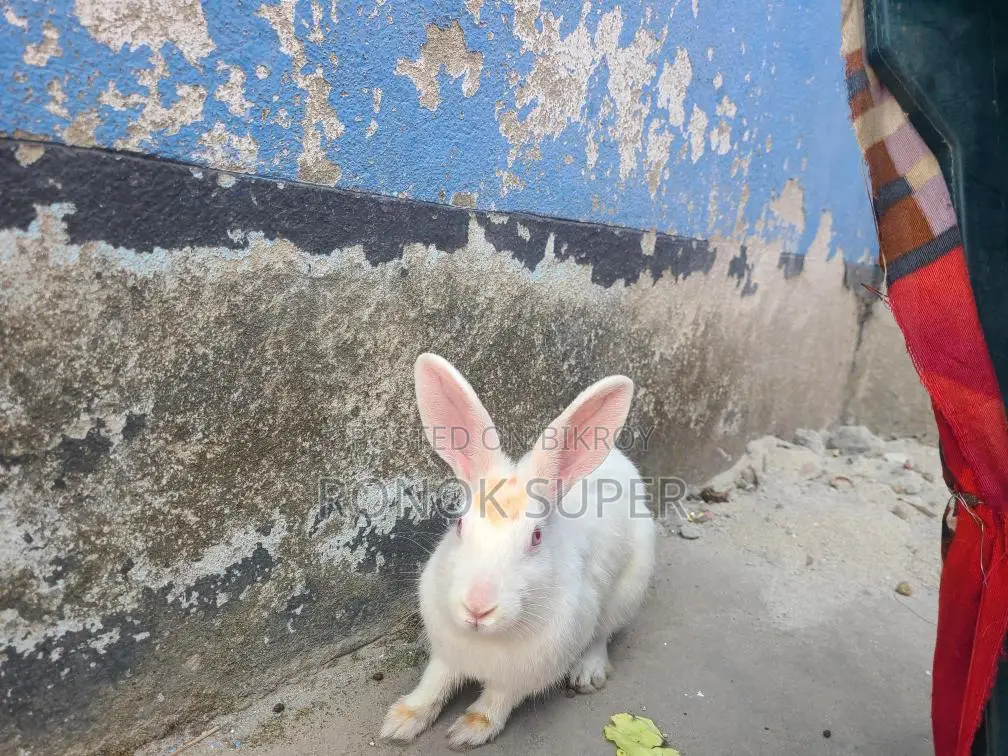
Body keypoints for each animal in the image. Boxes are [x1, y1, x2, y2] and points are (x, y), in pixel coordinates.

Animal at [379, 352, 657, 750]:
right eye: (459, 525)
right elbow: (434, 682)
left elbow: (497, 700)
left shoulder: (524, 674)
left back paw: (587, 673)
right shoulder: (446, 655)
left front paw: (469, 731)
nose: (477, 607)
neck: (484, 640)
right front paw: (401, 721)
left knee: (602, 635)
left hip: (627, 588)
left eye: (536, 537)